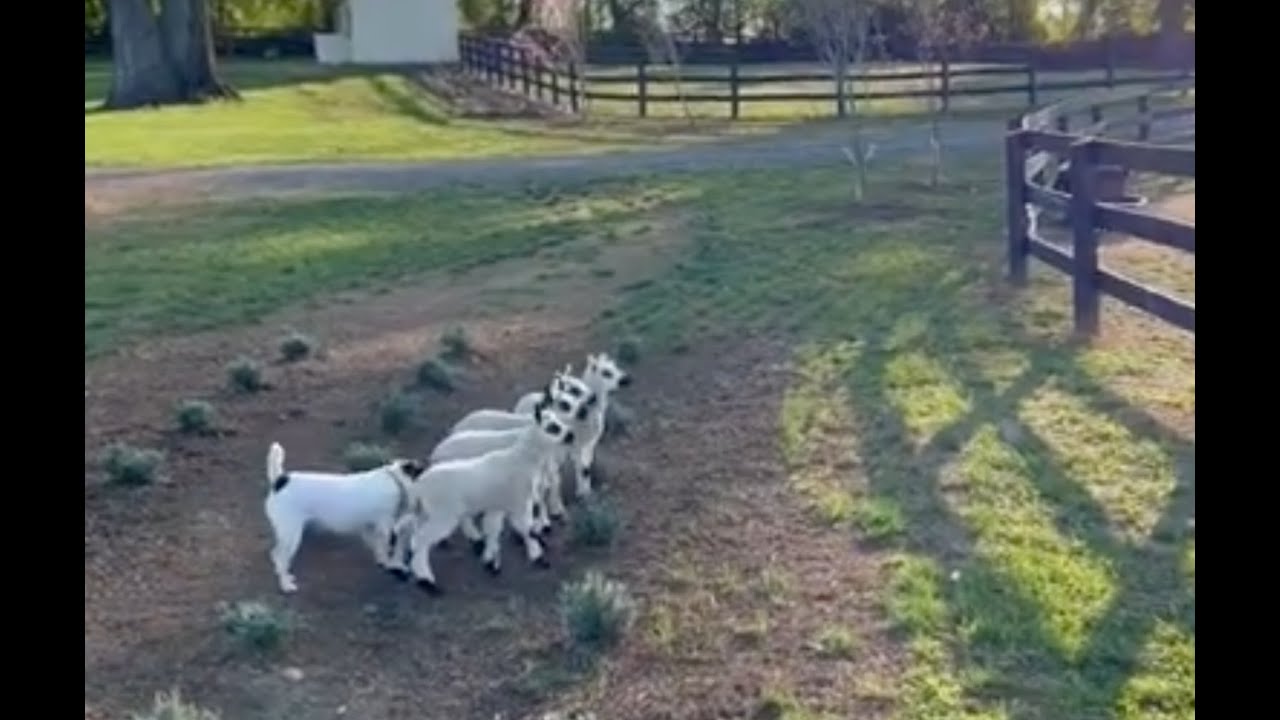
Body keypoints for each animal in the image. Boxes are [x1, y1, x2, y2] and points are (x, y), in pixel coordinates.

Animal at [387, 402, 579, 594]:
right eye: (552, 427)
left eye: (558, 420)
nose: (571, 435)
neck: (521, 460)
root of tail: (419, 486)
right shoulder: (519, 501)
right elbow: (526, 529)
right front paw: (539, 557)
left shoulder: (497, 506)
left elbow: (493, 530)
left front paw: (491, 562)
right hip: (442, 514)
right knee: (420, 540)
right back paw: (427, 582)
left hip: (424, 512)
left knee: (408, 531)